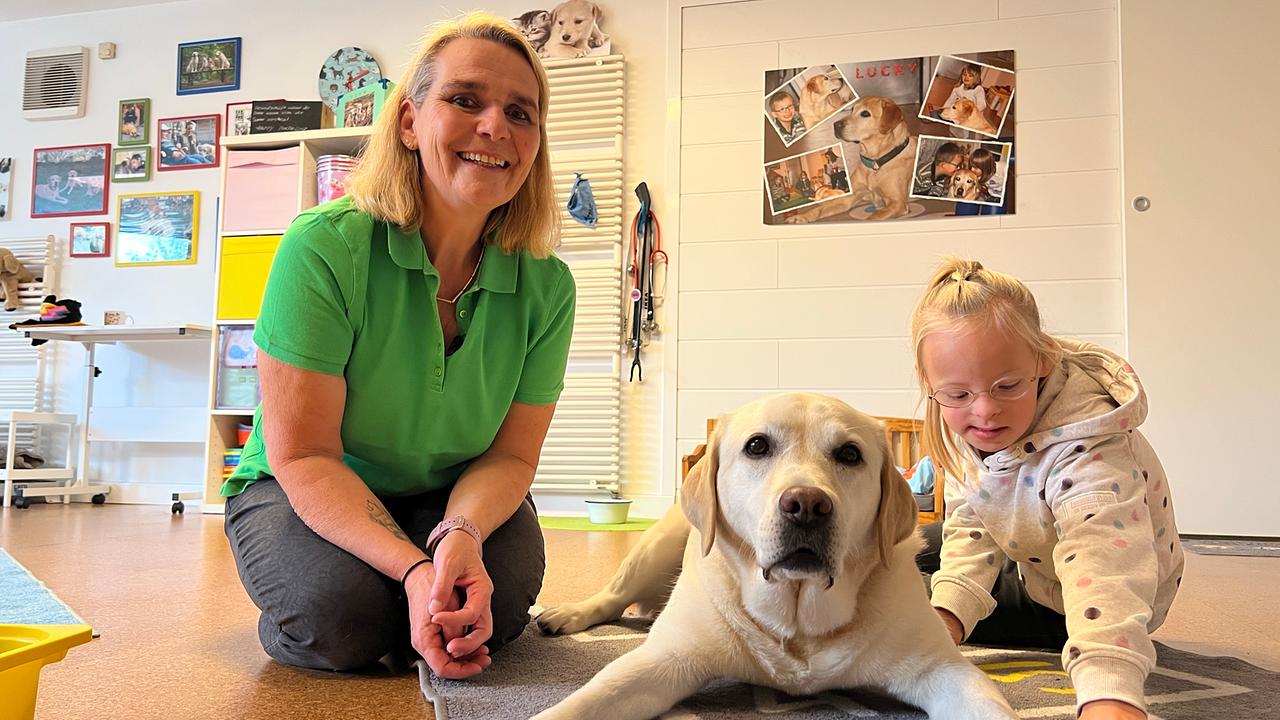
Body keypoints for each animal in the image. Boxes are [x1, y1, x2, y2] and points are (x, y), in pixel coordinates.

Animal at [535, 392, 1013, 717]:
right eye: (757, 446)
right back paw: (565, 613)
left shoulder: (942, 668)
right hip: (657, 547)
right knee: (613, 596)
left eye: (850, 454)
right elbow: (580, 704)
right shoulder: (664, 659)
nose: (807, 505)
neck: (798, 623)